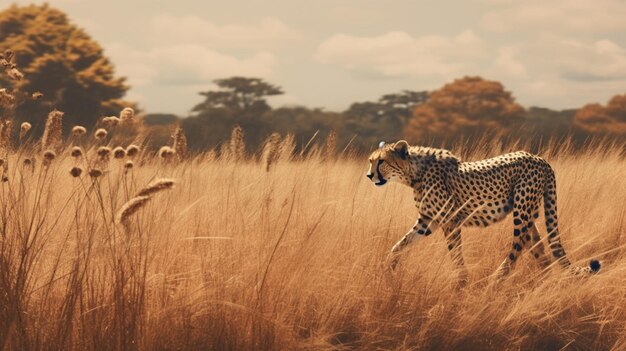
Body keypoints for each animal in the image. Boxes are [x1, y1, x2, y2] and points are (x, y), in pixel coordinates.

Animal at [366, 140, 600, 284]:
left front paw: (461, 281)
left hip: (521, 209)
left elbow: (455, 254)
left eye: (382, 161)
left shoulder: (450, 220)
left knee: (520, 243)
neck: (414, 172)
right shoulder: (428, 220)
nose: (369, 175)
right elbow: (400, 244)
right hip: (529, 212)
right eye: (371, 161)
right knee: (537, 245)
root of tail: (540, 159)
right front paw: (389, 266)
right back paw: (544, 279)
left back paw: (497, 277)